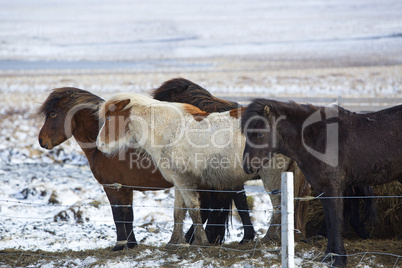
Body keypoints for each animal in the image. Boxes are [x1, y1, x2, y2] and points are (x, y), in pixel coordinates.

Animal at [37, 85, 251, 249]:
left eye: (53, 114)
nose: (41, 140)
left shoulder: (113, 188)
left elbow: (119, 216)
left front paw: (121, 245)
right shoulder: (125, 188)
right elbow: (128, 215)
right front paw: (131, 244)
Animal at [242, 99, 402, 266]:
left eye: (260, 133)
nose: (247, 166)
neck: (319, 138)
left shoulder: (334, 189)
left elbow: (336, 221)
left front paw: (339, 259)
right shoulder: (322, 190)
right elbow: (329, 222)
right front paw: (328, 255)